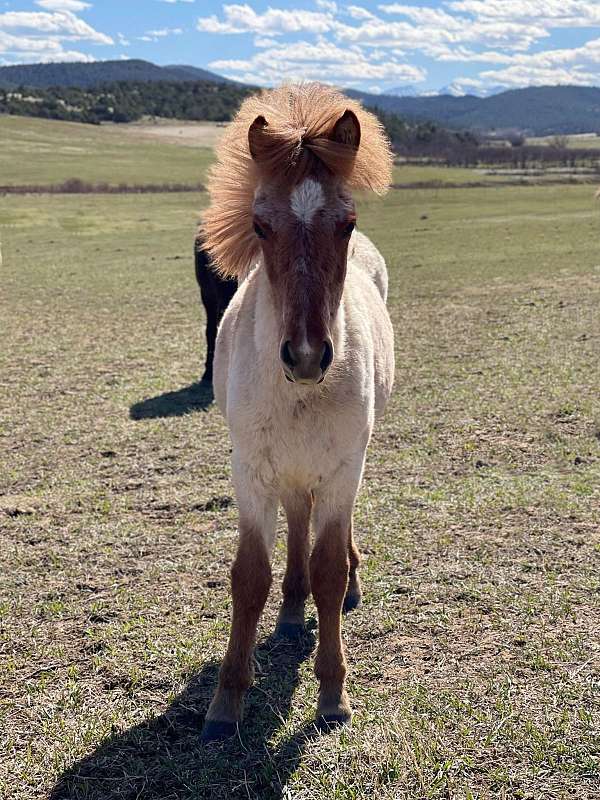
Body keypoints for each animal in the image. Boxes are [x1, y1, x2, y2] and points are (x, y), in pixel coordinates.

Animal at [199, 83, 395, 741]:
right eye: (260, 225)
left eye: (347, 223)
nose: (308, 355)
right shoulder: (252, 470)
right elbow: (249, 576)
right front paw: (226, 702)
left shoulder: (341, 468)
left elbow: (329, 568)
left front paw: (332, 695)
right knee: (296, 520)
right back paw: (289, 611)